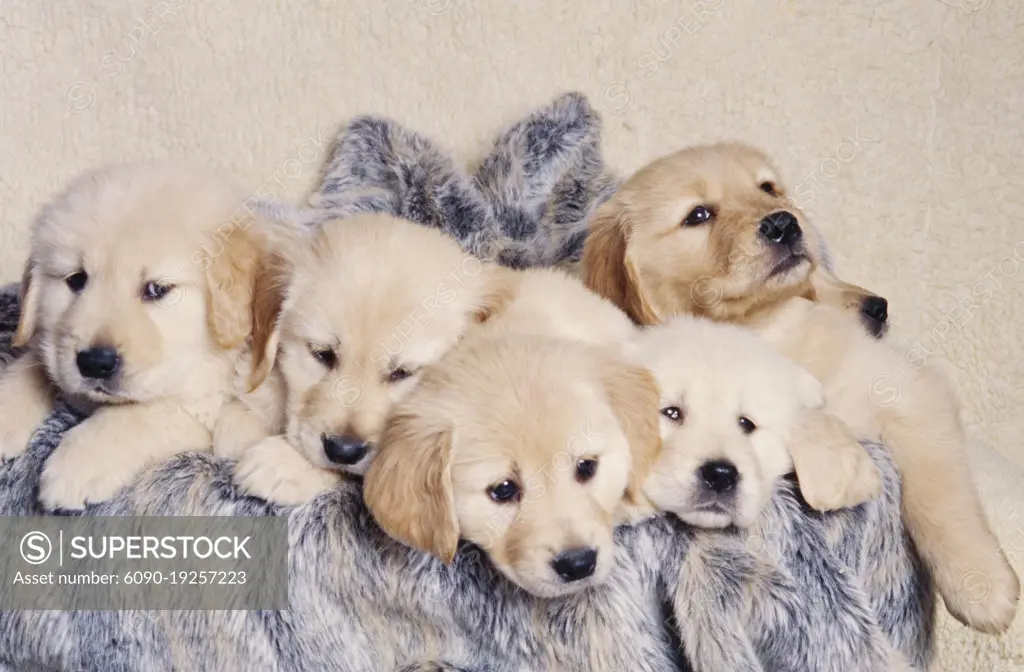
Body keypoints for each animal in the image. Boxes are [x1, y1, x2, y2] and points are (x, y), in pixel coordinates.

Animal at [0, 162, 268, 510]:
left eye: (156, 289)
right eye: (76, 279)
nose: (95, 363)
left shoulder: (206, 406)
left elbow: (141, 413)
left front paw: (78, 463)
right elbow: (31, 367)